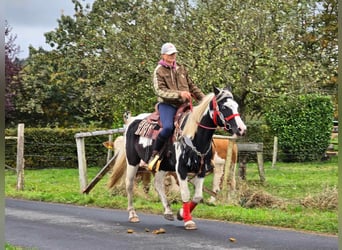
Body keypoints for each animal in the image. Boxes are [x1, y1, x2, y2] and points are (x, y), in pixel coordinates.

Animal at [107, 86, 246, 230]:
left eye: (236, 106)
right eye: (224, 107)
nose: (242, 129)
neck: (193, 136)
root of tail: (131, 121)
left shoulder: (201, 170)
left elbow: (197, 196)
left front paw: (181, 214)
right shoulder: (181, 169)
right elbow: (185, 193)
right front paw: (188, 221)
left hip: (163, 166)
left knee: (158, 184)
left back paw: (168, 212)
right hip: (132, 161)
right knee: (129, 184)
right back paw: (133, 214)